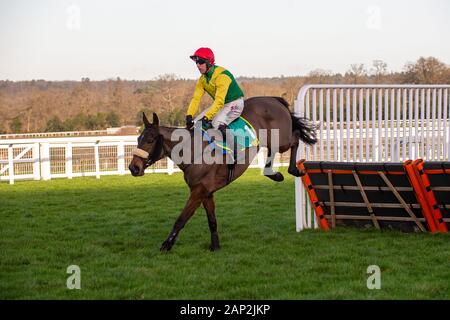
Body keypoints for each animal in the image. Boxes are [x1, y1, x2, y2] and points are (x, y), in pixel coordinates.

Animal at [126, 96, 316, 251]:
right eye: (138, 139)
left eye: (150, 140)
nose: (133, 168)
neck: (193, 150)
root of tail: (274, 99)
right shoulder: (206, 192)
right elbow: (212, 221)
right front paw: (215, 245)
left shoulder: (198, 191)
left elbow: (181, 218)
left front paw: (167, 244)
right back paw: (273, 173)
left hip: (281, 138)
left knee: (295, 137)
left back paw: (290, 170)